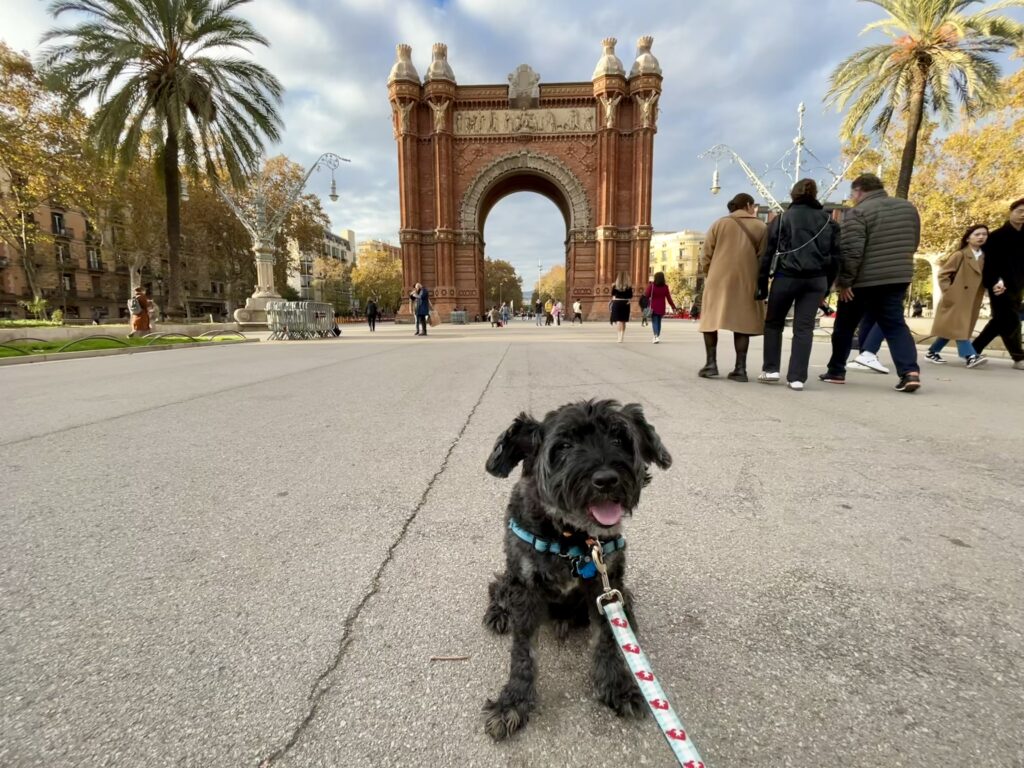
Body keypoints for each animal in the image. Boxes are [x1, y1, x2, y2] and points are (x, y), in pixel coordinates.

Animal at [481, 397, 671, 741]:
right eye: (564, 446)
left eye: (620, 439)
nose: (606, 479)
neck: (572, 538)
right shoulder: (525, 587)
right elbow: (523, 652)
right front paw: (512, 702)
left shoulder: (606, 585)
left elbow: (608, 638)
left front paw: (617, 686)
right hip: (510, 576)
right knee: (497, 587)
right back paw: (499, 612)